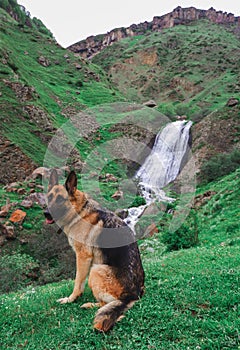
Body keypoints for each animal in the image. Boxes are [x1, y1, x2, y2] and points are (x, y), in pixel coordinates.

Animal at [44, 171, 144, 332]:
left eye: (60, 199)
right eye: (49, 198)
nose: (46, 213)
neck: (79, 211)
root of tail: (133, 295)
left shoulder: (83, 257)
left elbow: (78, 282)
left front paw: (71, 299)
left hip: (96, 270)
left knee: (105, 304)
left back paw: (91, 305)